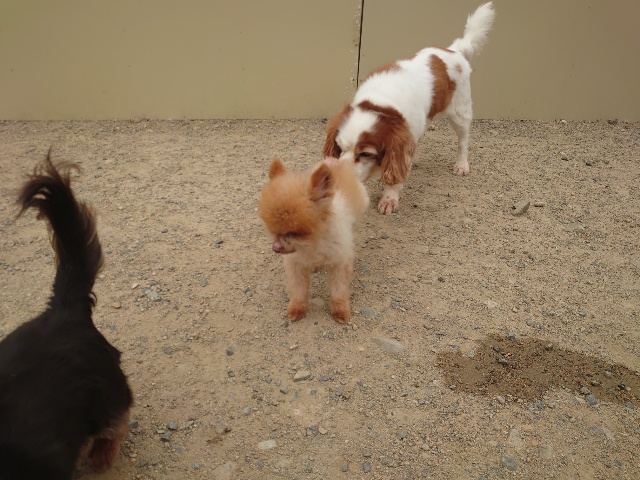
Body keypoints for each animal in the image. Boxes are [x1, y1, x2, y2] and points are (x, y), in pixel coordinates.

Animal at [259, 157, 369, 323]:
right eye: (273, 230)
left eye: (294, 233)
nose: (276, 248)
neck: (312, 243)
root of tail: (337, 162)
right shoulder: (296, 265)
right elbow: (299, 289)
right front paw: (297, 308)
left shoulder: (340, 262)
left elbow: (338, 289)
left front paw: (340, 309)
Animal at [323, 2, 495, 214]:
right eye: (339, 147)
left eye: (366, 154)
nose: (339, 178)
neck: (381, 101)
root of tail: (454, 50)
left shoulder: (399, 145)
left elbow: (395, 176)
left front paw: (389, 198)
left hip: (459, 113)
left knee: (463, 141)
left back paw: (462, 164)